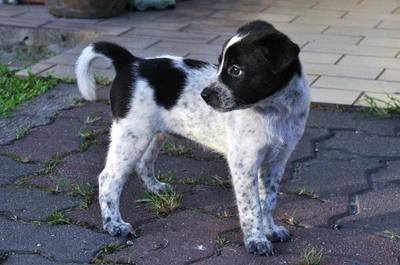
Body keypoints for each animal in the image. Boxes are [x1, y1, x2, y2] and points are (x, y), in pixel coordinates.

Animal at [76, 19, 310, 255]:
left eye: (236, 70)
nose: (204, 95)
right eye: (220, 65)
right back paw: (114, 225)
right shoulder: (244, 163)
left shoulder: (277, 161)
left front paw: (271, 230)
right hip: (131, 135)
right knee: (108, 179)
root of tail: (130, 62)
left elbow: (267, 200)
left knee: (143, 164)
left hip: (153, 134)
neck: (275, 110)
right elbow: (251, 206)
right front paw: (256, 241)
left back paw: (156, 189)